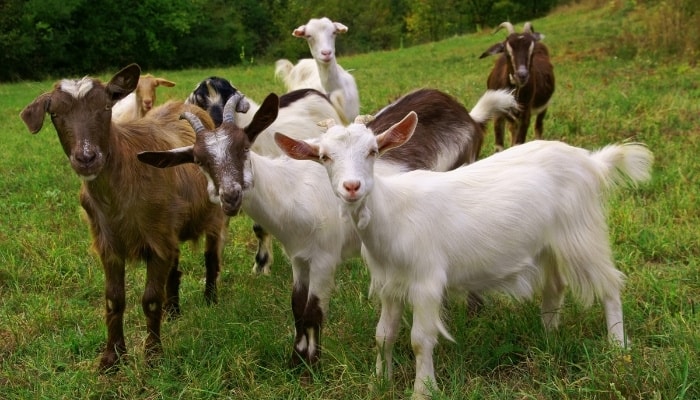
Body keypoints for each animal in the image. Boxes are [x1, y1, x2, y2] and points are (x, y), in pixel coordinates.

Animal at [19, 62, 227, 372]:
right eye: (54, 114)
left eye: (106, 107)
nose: (87, 158)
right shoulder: (109, 243)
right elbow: (113, 300)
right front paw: (112, 358)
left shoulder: (156, 239)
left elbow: (150, 299)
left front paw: (153, 356)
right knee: (175, 268)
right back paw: (173, 311)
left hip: (212, 215)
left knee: (211, 257)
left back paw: (211, 300)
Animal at [276, 113, 652, 400]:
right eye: (324, 157)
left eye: (373, 151)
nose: (352, 187)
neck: (392, 215)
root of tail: (591, 162)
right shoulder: (389, 284)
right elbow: (384, 335)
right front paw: (378, 382)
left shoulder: (426, 281)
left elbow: (419, 340)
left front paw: (423, 390)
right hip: (549, 242)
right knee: (556, 285)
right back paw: (548, 336)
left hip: (581, 232)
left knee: (610, 284)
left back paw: (617, 347)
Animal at [478, 21, 556, 152]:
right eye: (507, 52)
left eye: (532, 52)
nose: (522, 75)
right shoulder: (498, 114)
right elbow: (499, 147)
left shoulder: (525, 113)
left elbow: (518, 143)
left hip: (543, 107)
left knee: (538, 126)